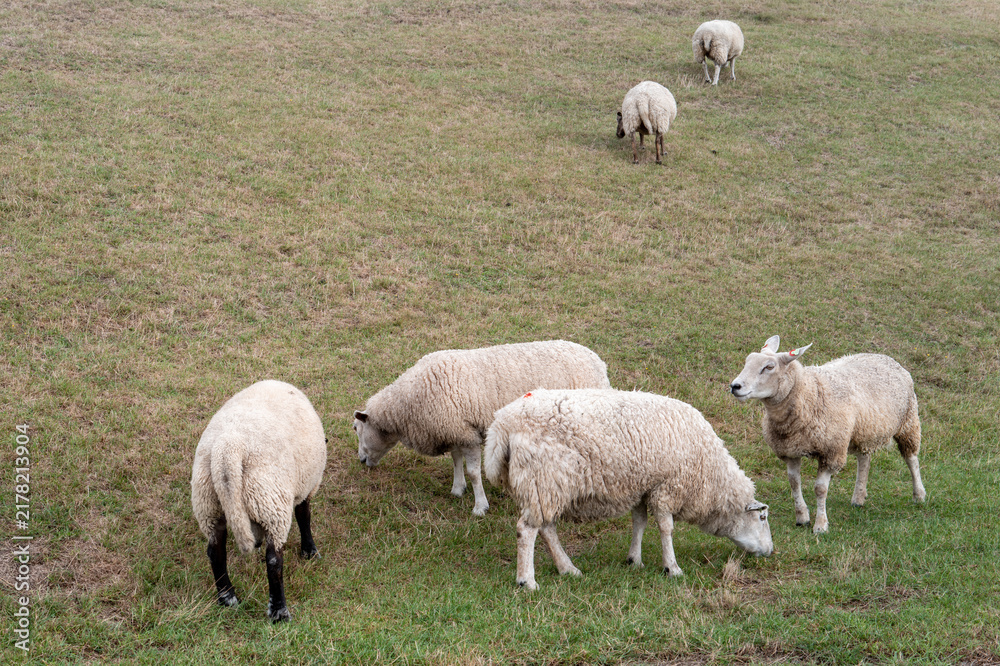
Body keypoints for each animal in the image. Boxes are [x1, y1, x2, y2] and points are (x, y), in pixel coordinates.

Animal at [191, 380, 327, 622]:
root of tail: (228, 450)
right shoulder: (307, 485)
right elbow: (304, 515)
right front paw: (310, 552)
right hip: (271, 503)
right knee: (274, 560)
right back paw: (279, 612)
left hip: (208, 505)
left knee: (215, 552)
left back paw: (227, 599)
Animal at [353, 340, 611, 517]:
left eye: (357, 428)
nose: (361, 461)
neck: (408, 402)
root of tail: (598, 363)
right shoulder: (455, 430)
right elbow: (456, 462)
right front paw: (457, 489)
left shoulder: (468, 435)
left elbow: (474, 473)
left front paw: (480, 507)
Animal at [484, 388, 773, 590]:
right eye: (762, 517)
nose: (770, 552)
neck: (710, 473)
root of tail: (502, 425)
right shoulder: (667, 487)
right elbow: (666, 528)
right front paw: (672, 568)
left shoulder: (644, 486)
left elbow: (640, 522)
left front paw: (635, 559)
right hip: (543, 478)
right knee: (526, 530)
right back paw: (527, 581)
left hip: (544, 486)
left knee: (545, 528)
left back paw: (568, 568)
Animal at [729, 336, 927, 534]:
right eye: (747, 361)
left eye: (769, 367)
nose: (735, 386)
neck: (809, 393)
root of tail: (885, 357)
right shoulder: (790, 451)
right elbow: (794, 483)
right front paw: (802, 517)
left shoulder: (831, 451)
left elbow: (820, 489)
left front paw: (820, 525)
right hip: (864, 430)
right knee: (864, 459)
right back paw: (858, 498)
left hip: (908, 422)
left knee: (911, 459)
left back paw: (919, 495)